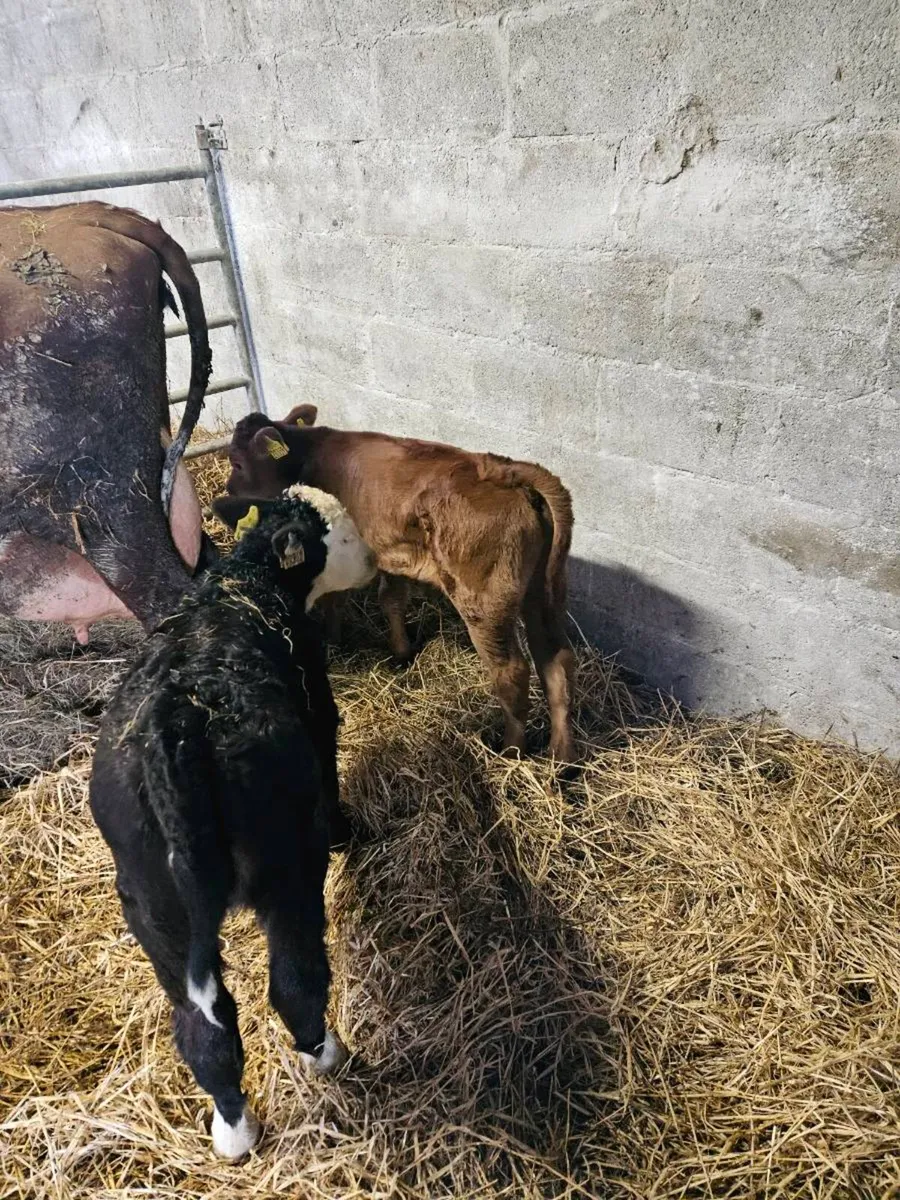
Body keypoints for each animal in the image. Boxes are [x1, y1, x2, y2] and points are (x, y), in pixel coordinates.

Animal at [89, 485, 377, 1160]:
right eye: (342, 535)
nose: (377, 561)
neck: (247, 577)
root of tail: (178, 727)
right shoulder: (319, 705)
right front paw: (350, 831)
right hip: (287, 863)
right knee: (294, 981)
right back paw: (325, 1052)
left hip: (151, 903)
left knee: (204, 1027)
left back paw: (232, 1129)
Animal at [224, 406, 577, 763]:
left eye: (236, 462)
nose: (228, 490)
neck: (307, 457)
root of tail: (500, 469)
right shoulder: (391, 552)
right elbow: (391, 600)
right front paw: (401, 652)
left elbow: (335, 599)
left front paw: (334, 640)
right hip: (542, 591)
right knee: (555, 660)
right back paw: (562, 758)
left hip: (483, 602)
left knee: (512, 672)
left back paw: (510, 752)